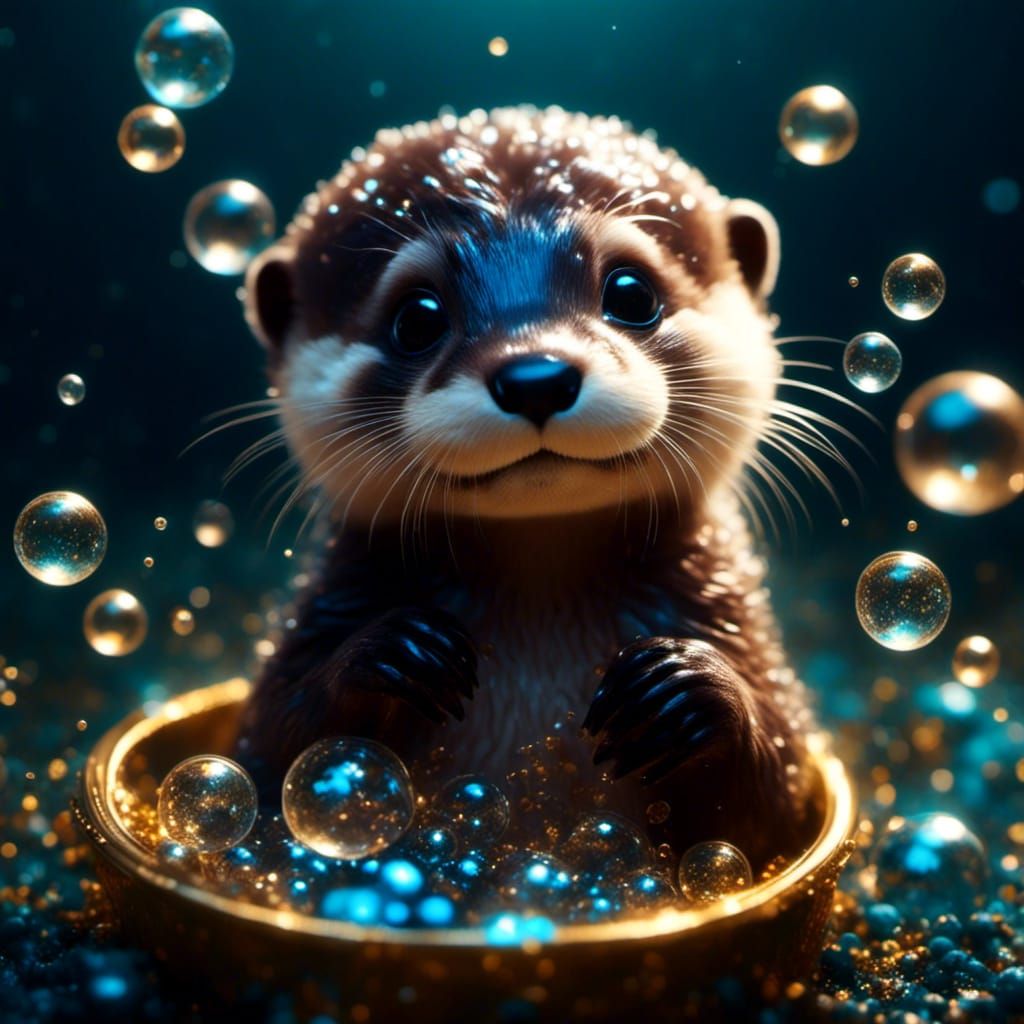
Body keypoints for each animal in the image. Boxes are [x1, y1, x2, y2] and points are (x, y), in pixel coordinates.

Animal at [235, 106, 816, 869]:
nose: (536, 375)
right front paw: (394, 654)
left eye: (632, 293)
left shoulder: (745, 641)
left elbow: (771, 806)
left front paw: (686, 690)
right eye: (417, 318)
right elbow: (270, 760)